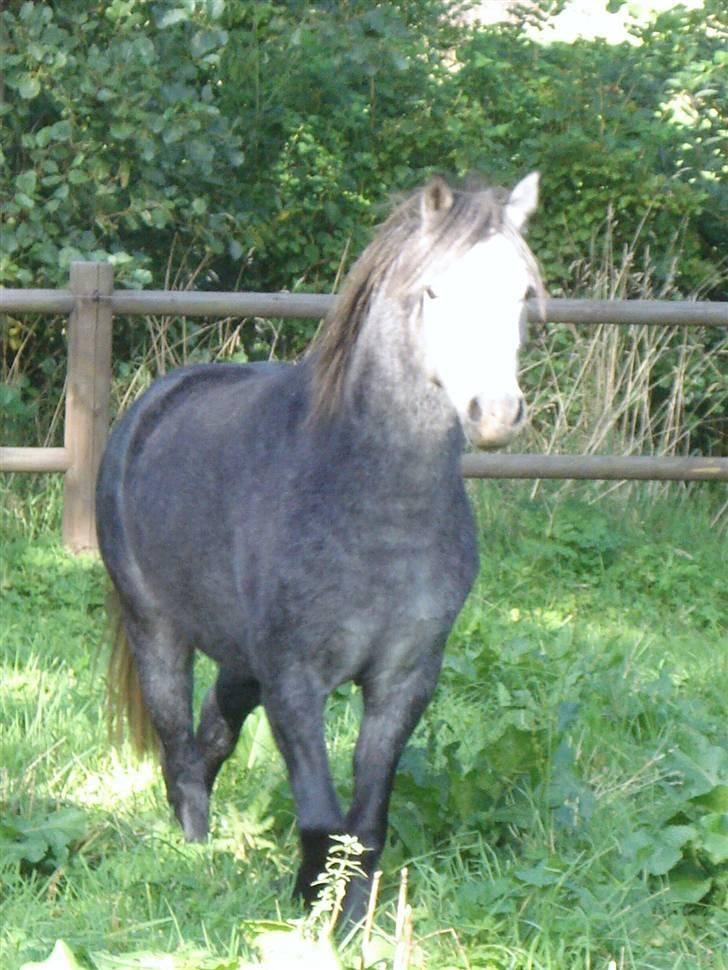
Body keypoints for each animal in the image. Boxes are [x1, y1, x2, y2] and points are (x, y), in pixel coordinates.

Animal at [96, 172, 542, 919]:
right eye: (433, 292)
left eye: (523, 295)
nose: (496, 413)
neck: (372, 506)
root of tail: (148, 408)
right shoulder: (293, 679)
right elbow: (319, 817)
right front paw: (314, 911)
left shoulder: (403, 682)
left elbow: (365, 821)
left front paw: (356, 914)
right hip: (157, 630)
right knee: (179, 750)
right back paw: (193, 854)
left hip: (239, 659)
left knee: (213, 736)